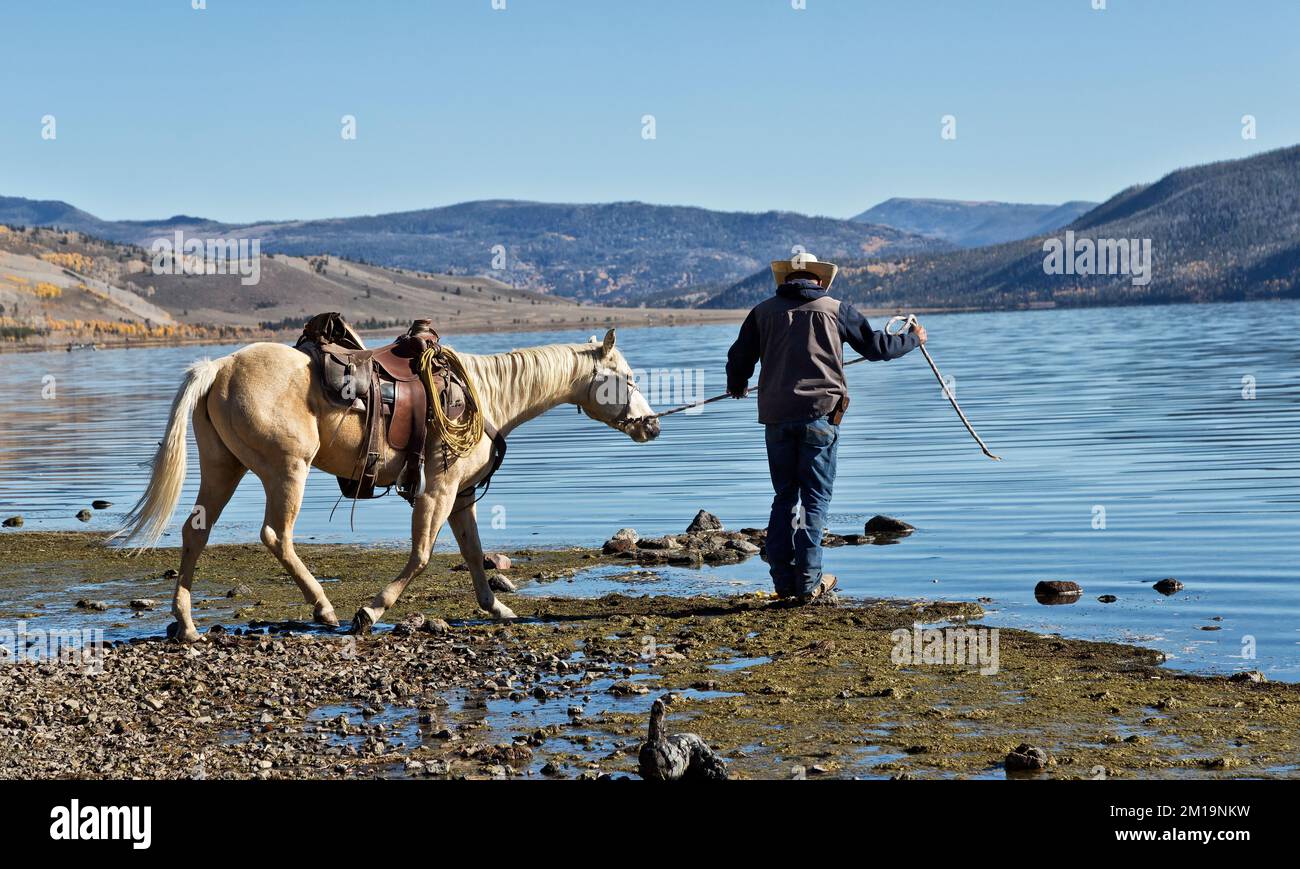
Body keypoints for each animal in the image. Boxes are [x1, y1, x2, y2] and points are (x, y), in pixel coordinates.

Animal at [113, 328, 660, 641]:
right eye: (628, 378)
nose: (651, 425)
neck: (482, 393)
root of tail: (220, 368)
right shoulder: (437, 489)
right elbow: (421, 554)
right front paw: (370, 611)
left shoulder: (461, 496)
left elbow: (474, 554)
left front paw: (498, 608)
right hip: (287, 469)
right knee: (276, 536)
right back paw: (325, 609)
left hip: (223, 468)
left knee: (195, 532)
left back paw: (186, 625)